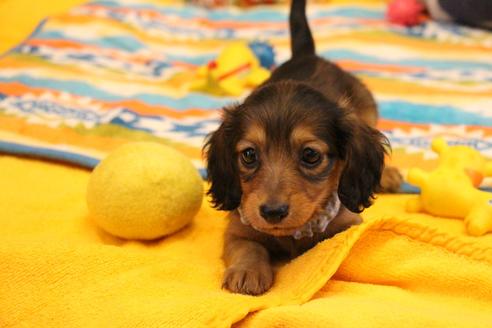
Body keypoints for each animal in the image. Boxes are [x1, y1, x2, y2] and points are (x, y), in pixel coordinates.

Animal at [204, 0, 400, 296]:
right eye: (249, 155)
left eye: (310, 155)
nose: (272, 212)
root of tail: (307, 54)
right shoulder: (239, 228)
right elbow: (249, 248)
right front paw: (247, 271)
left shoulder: (347, 225)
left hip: (367, 109)